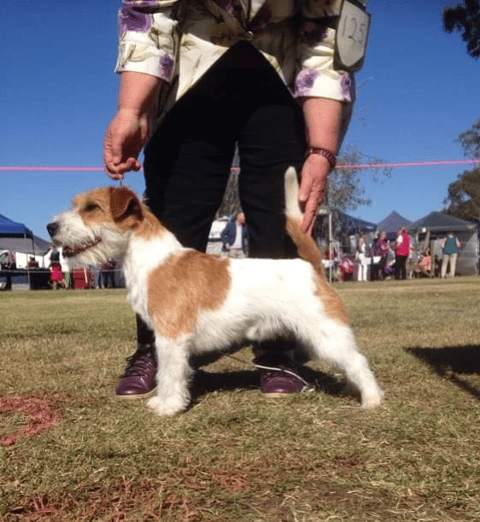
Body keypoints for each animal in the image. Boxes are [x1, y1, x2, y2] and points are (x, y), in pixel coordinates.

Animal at [46, 169, 382, 412]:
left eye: (92, 208)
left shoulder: (171, 336)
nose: (51, 227)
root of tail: (311, 266)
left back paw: (372, 399)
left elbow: (169, 373)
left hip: (326, 333)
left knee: (359, 362)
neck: (153, 258)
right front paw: (164, 401)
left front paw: (168, 406)